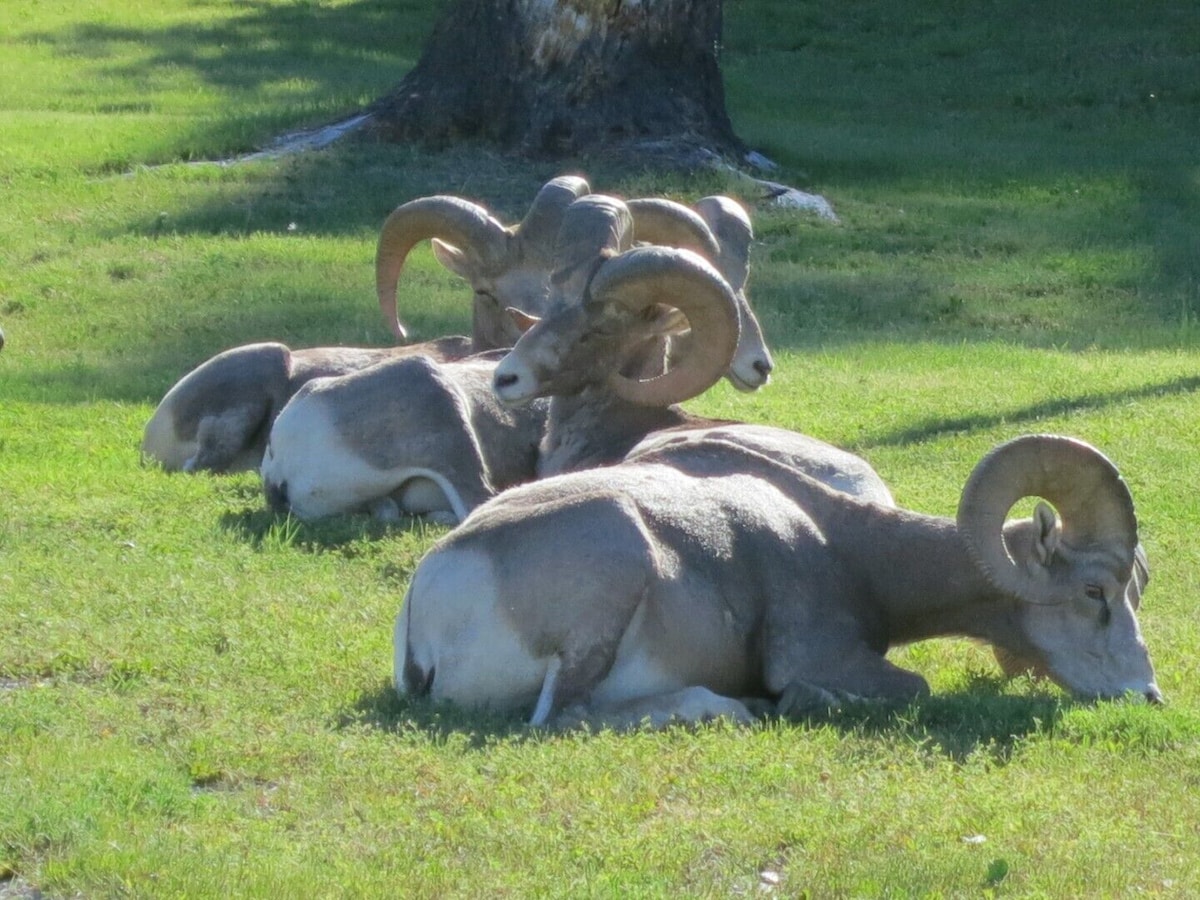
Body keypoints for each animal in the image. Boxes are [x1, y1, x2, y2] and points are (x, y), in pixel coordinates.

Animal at [396, 432, 1161, 734]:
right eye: (1095, 592)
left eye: (1134, 591)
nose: (1148, 694)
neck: (840, 545)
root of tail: (427, 601)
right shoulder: (820, 654)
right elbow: (913, 688)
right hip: (607, 591)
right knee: (562, 717)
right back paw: (730, 707)